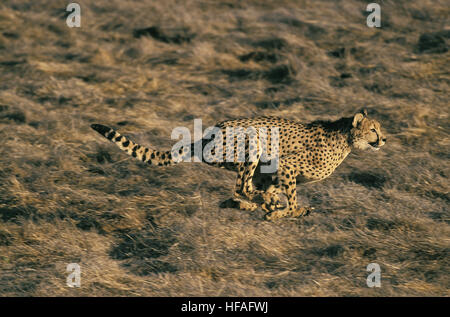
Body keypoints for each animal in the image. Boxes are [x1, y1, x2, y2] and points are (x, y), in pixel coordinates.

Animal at [91, 108, 386, 220]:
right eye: (373, 129)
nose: (384, 139)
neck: (345, 138)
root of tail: (210, 131)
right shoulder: (286, 165)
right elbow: (290, 200)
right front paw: (289, 210)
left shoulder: (271, 173)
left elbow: (270, 194)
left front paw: (270, 210)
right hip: (252, 140)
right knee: (242, 187)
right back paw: (258, 204)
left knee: (240, 190)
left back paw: (245, 205)